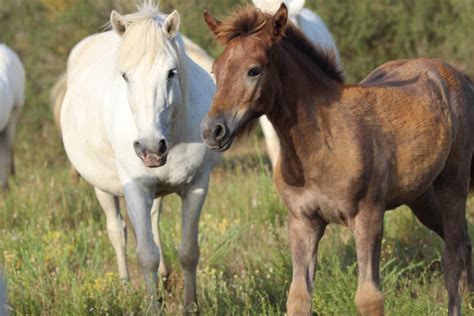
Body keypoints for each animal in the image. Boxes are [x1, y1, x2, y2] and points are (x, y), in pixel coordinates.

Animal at [60, 3, 219, 310]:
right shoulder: (135, 187)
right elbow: (146, 255)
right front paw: (151, 306)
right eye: (125, 75)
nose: (150, 149)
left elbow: (189, 251)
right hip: (103, 188)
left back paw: (164, 279)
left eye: (171, 72)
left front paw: (190, 306)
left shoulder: (197, 186)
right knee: (117, 231)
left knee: (153, 222)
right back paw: (124, 286)